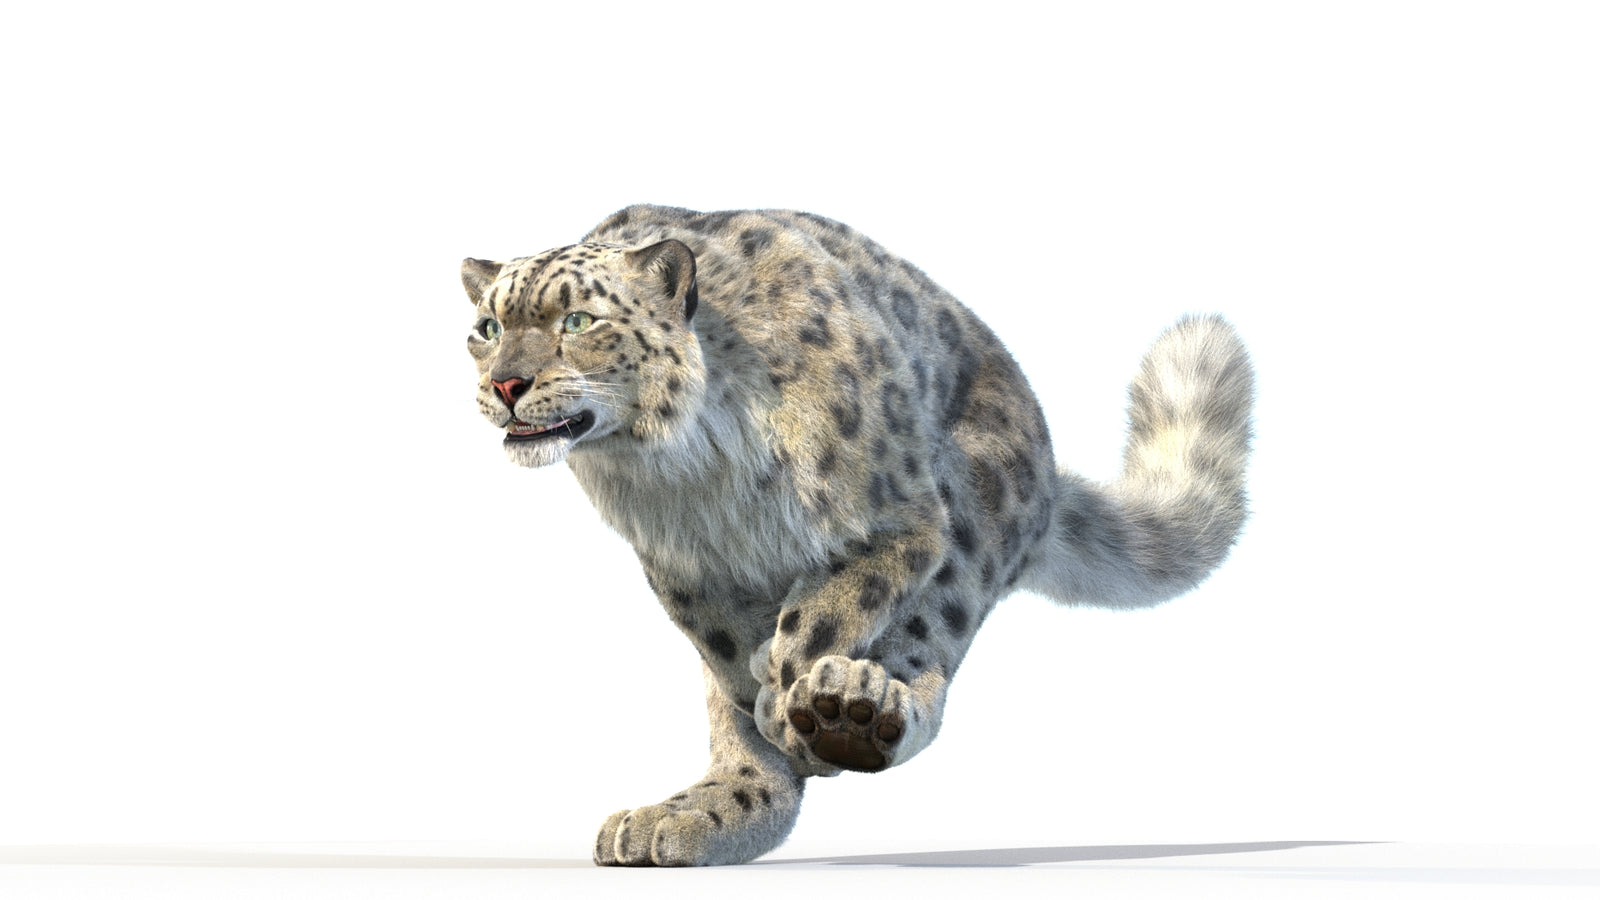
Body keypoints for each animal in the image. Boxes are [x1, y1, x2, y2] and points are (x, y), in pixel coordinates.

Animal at [459, 205, 1254, 866]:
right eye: (487, 329)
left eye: (577, 321)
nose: (506, 385)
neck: (686, 475)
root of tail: (1045, 462)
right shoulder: (685, 570)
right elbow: (729, 661)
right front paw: (768, 728)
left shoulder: (900, 522)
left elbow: (823, 610)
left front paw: (790, 699)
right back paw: (693, 812)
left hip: (971, 520)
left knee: (926, 649)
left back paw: (854, 710)